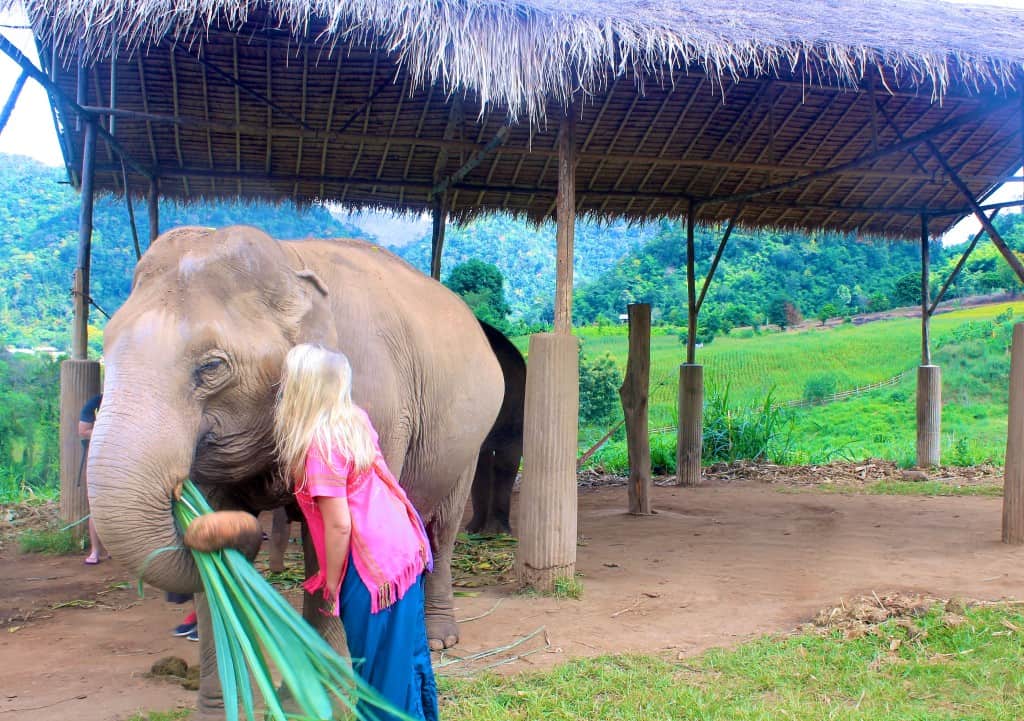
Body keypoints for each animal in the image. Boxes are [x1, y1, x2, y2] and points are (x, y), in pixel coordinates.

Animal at [88, 224, 503, 716]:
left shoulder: (375, 403)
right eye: (104, 353)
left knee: (441, 528)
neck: (290, 263)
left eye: (211, 367)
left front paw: (322, 699)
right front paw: (229, 710)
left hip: (470, 437)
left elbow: (329, 536)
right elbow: (214, 558)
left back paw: (440, 641)